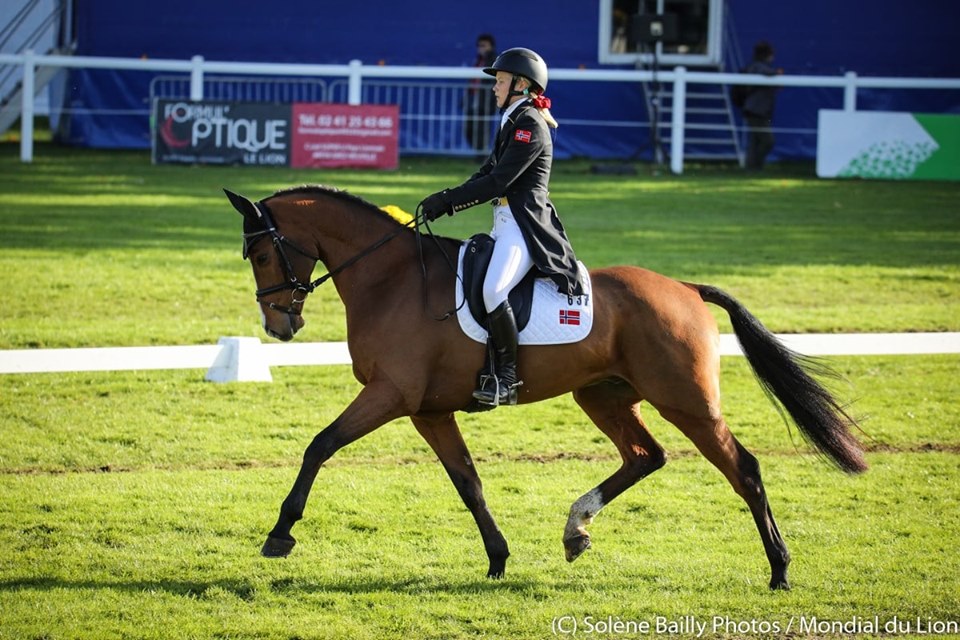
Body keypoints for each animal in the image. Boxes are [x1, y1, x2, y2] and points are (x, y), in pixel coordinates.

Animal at [221, 181, 868, 592]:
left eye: (261, 253)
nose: (278, 327)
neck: (392, 278)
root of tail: (684, 287)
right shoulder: (428, 411)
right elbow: (469, 484)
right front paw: (498, 559)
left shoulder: (391, 395)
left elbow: (320, 445)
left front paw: (279, 534)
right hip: (602, 394)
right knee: (645, 456)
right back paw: (576, 530)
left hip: (686, 401)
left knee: (744, 469)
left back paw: (780, 570)